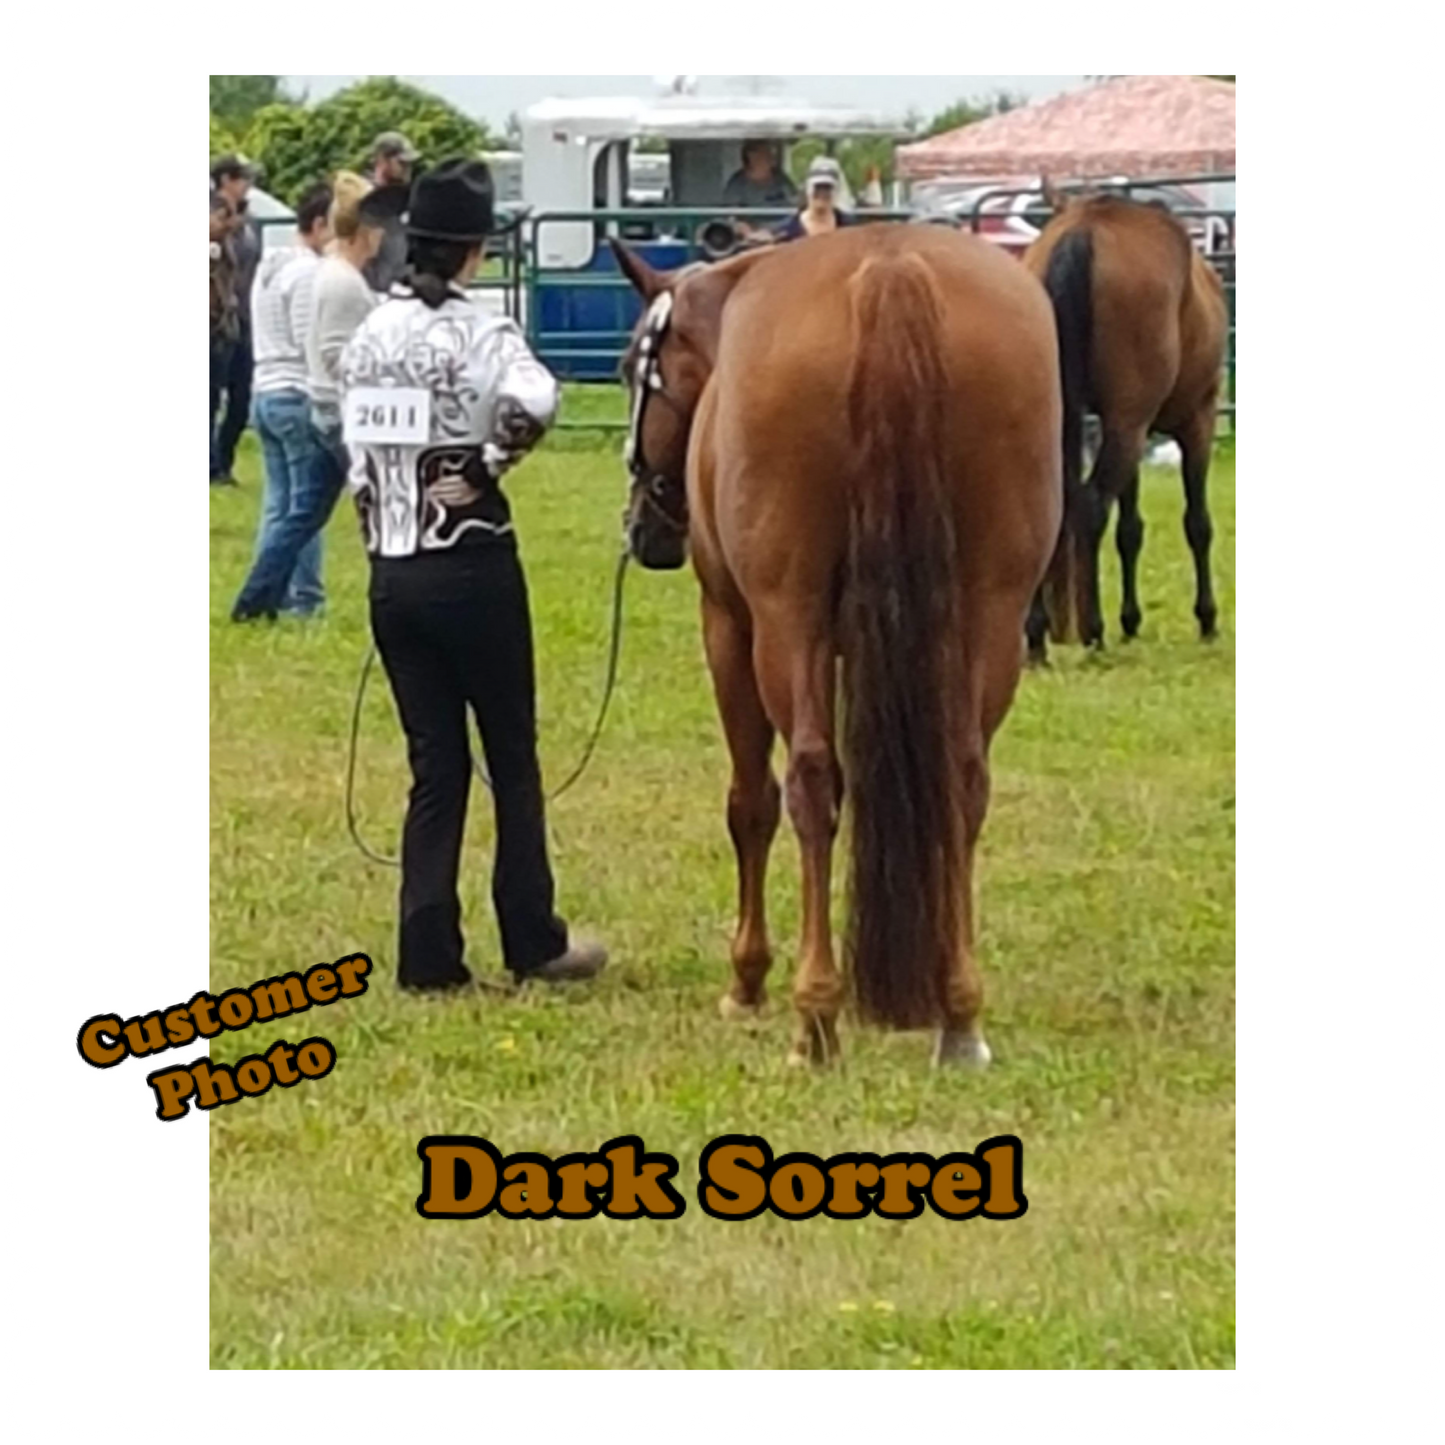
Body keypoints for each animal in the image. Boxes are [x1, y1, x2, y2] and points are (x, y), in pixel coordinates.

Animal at [611, 223, 1062, 1068]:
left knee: (809, 783)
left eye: (631, 370)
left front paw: (746, 978)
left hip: (784, 622)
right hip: (990, 616)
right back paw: (959, 1015)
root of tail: (890, 268)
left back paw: (813, 1015)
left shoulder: (731, 626)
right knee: (961, 779)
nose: (644, 529)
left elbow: (750, 801)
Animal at [1023, 188, 1230, 658]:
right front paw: (1207, 619)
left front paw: (1131, 621)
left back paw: (1038, 636)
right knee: (1093, 504)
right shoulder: (1198, 420)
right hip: (1131, 425)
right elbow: (1198, 523)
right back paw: (1093, 630)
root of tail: (1083, 230)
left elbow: (1130, 529)